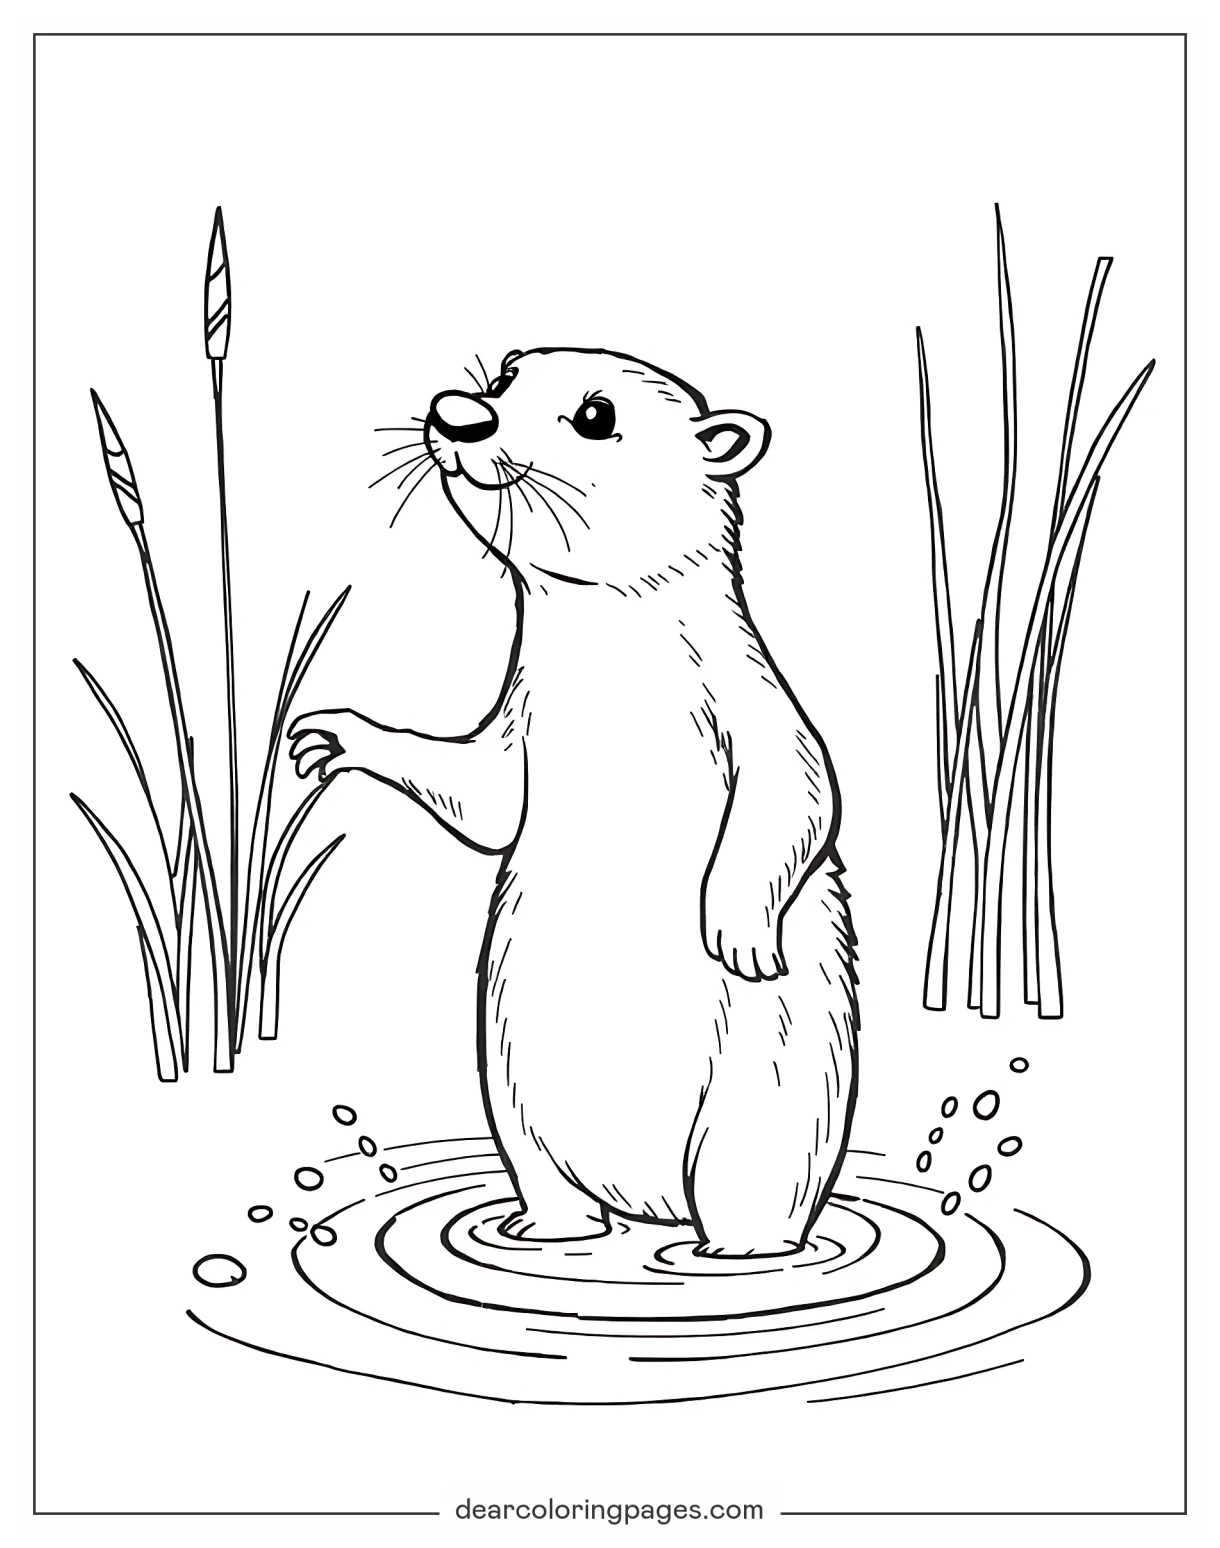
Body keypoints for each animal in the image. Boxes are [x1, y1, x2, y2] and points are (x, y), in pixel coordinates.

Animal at [289, 347, 859, 1257]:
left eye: (597, 414)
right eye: (505, 377)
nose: (457, 414)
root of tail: (652, 1201)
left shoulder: (743, 693)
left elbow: (797, 785)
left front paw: (737, 927)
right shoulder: (521, 715)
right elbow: (482, 792)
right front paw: (335, 735)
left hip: (769, 1088)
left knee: (751, 1177)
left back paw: (731, 1252)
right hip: (510, 1071)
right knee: (540, 1162)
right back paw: (544, 1230)